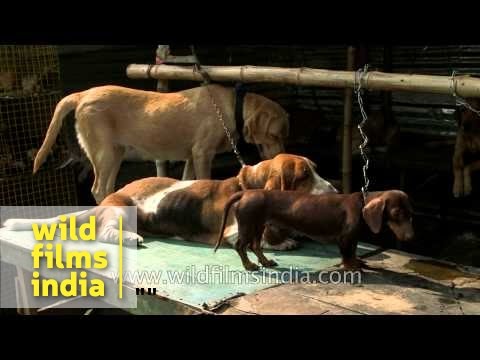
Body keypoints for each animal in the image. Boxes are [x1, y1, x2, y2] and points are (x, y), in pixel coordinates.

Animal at [2, 154, 338, 250]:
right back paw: (131, 239)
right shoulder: (234, 233)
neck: (249, 182)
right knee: (105, 234)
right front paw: (282, 241)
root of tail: (101, 203)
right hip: (121, 211)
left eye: (316, 169)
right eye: (304, 175)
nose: (335, 191)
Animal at [33, 83, 290, 204]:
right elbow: (204, 179)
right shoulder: (202, 153)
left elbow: (187, 181)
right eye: (277, 135)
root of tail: (83, 94)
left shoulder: (191, 156)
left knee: (105, 187)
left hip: (115, 154)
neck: (233, 108)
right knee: (97, 188)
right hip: (104, 154)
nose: (284, 157)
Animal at [216, 190, 414, 272]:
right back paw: (249, 266)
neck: (362, 204)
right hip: (248, 225)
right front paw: (351, 267)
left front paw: (357, 262)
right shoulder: (344, 238)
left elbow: (353, 251)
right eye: (396, 213)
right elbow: (346, 254)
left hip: (259, 225)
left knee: (255, 246)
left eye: (410, 213)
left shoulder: (353, 238)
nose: (411, 237)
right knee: (240, 246)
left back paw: (266, 262)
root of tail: (246, 192)